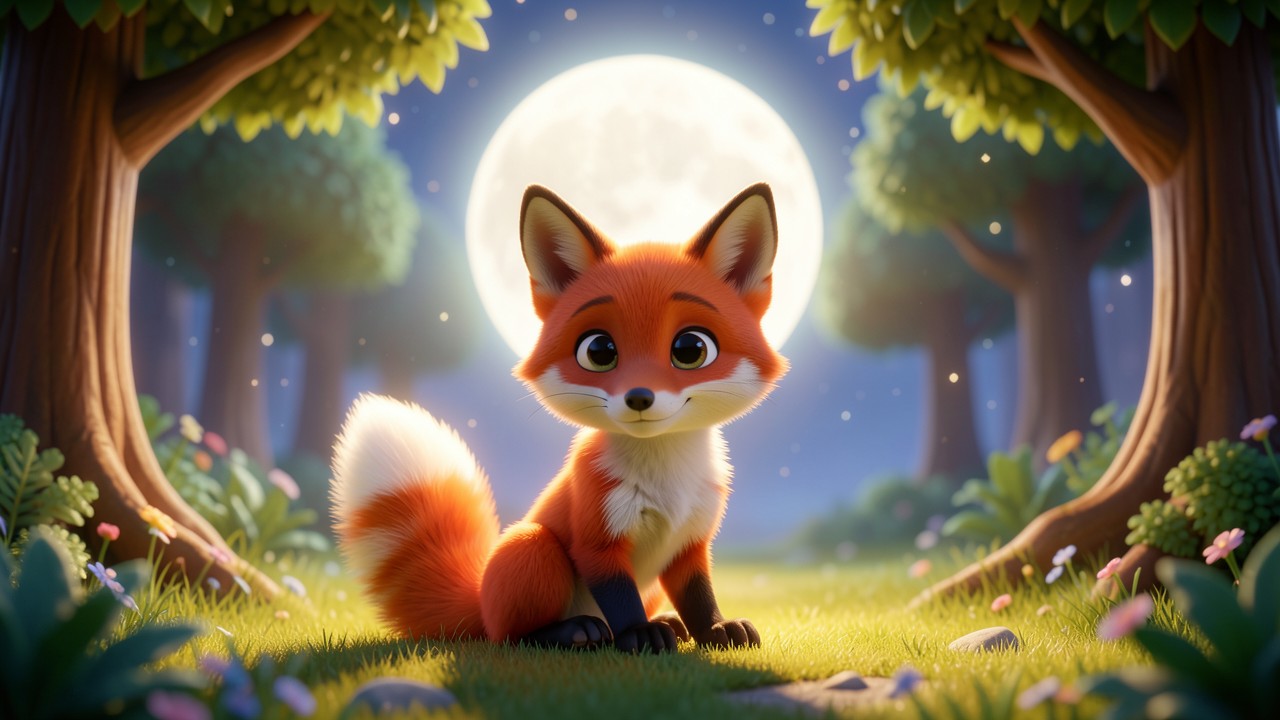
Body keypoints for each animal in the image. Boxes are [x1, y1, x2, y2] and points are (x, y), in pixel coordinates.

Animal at [329, 182, 788, 653]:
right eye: (599, 350)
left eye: (691, 349)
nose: (639, 398)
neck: (666, 481)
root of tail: (480, 600)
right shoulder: (596, 539)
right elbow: (620, 598)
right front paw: (638, 633)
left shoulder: (689, 542)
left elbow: (698, 597)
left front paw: (715, 630)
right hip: (533, 547)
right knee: (511, 636)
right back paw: (575, 632)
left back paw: (663, 622)